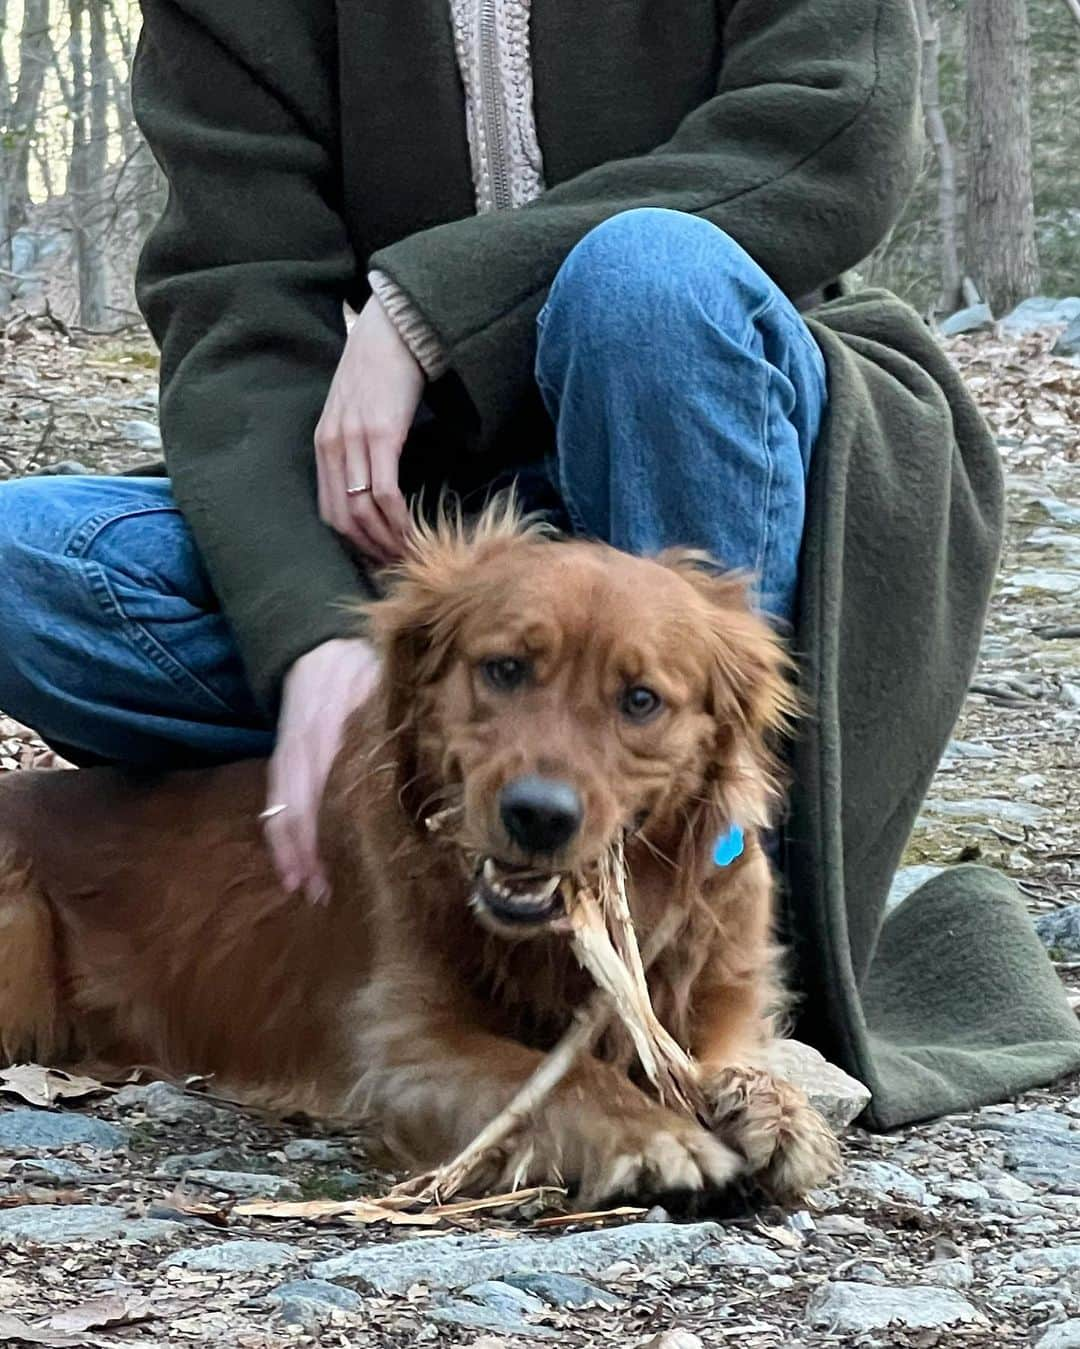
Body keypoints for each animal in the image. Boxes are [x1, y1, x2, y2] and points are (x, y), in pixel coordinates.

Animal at [0, 507, 835, 1203]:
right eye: (504, 668)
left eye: (639, 699)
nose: (538, 815)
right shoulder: (407, 1042)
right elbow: (552, 1076)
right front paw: (654, 1136)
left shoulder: (721, 999)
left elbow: (726, 1061)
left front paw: (775, 1113)